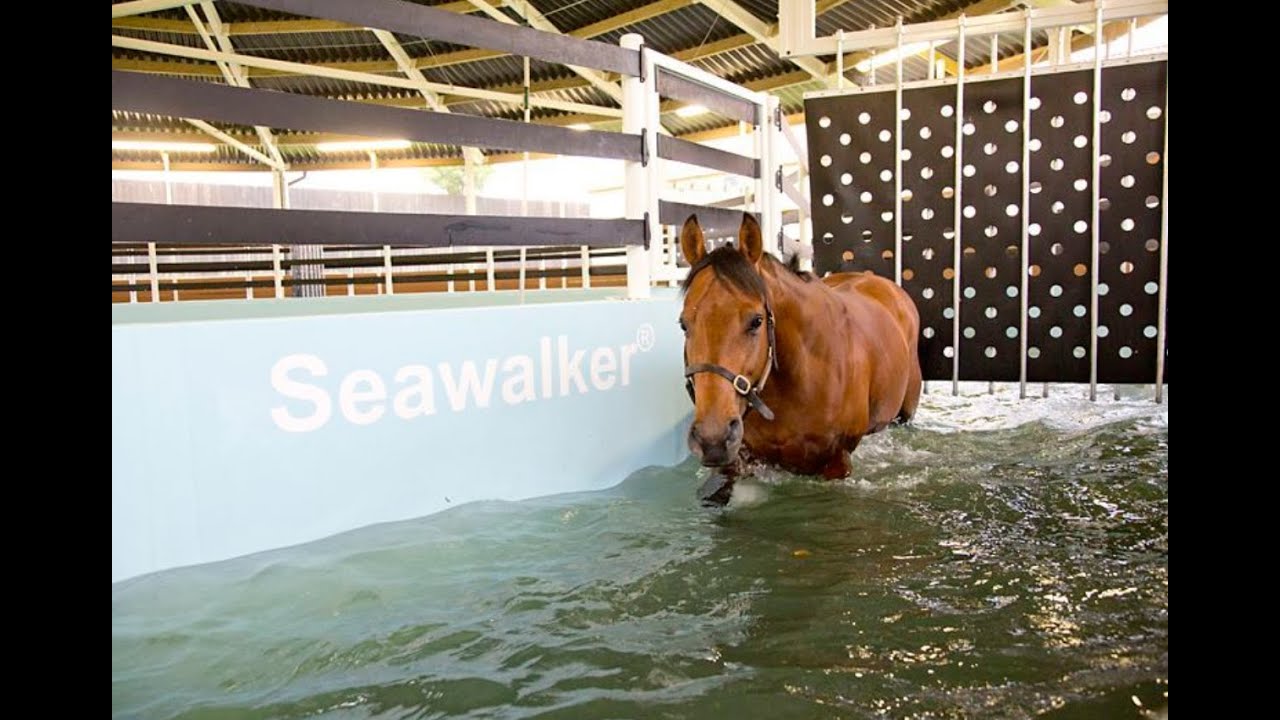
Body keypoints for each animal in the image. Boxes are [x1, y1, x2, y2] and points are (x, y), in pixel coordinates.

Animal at [678, 213, 922, 501]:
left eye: (756, 321)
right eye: (683, 324)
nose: (713, 438)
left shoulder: (837, 463)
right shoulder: (740, 458)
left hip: (903, 416)